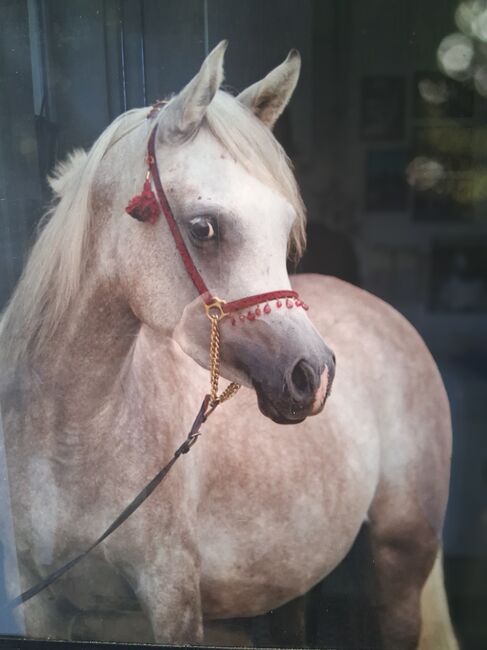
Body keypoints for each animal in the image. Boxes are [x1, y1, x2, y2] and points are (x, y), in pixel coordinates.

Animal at [0, 41, 458, 649]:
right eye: (204, 228)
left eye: (285, 225)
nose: (313, 375)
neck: (68, 437)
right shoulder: (40, 602)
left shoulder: (172, 595)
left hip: (402, 557)